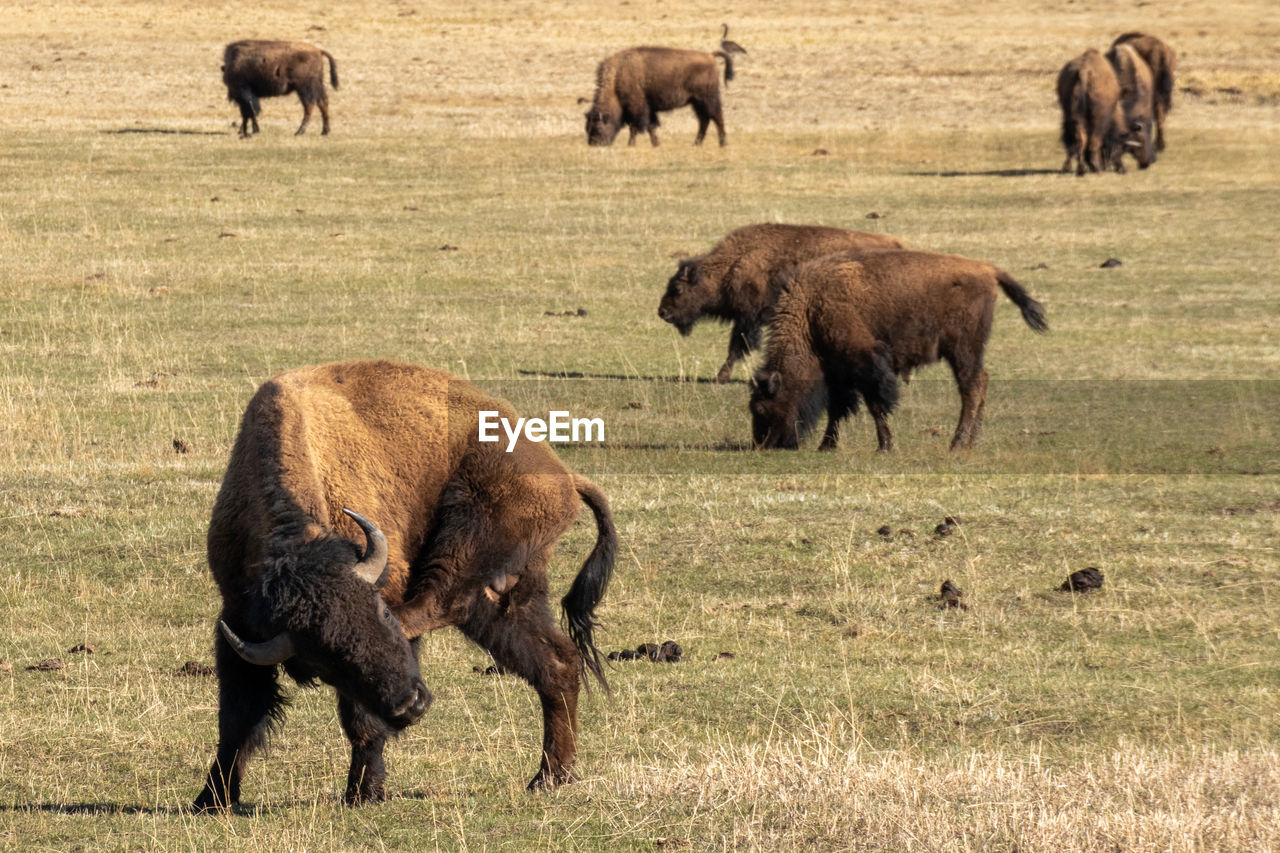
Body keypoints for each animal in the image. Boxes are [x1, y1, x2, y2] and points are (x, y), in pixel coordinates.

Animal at [192, 358, 616, 809]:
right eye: (325, 663)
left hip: (469, 540)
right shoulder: (238, 624)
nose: (411, 705)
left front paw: (364, 793)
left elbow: (360, 722)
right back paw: (552, 775)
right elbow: (237, 721)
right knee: (555, 662)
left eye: (380, 611)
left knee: (444, 601)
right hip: (507, 602)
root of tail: (564, 474)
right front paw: (211, 800)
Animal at [586, 46, 737, 147]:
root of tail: (710, 55)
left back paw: (722, 143)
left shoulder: (637, 108)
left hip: (707, 99)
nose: (594, 144)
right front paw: (656, 143)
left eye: (598, 128)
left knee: (717, 116)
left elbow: (636, 127)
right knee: (704, 120)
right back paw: (697, 143)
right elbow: (650, 126)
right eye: (587, 128)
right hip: (696, 102)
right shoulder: (647, 109)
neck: (617, 77)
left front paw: (631, 144)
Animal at [655, 222, 906, 379]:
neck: (731, 265)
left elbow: (737, 346)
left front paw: (721, 377)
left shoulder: (749, 317)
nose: (662, 312)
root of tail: (896, 244)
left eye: (677, 289)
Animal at [747, 249, 1049, 450]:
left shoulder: (865, 362)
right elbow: (838, 408)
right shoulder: (839, 372)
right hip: (969, 352)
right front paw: (827, 446)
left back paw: (957, 443)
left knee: (971, 388)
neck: (810, 308)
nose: (763, 445)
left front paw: (885, 446)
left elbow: (876, 405)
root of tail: (988, 269)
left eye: (761, 408)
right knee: (981, 383)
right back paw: (971, 441)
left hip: (963, 350)